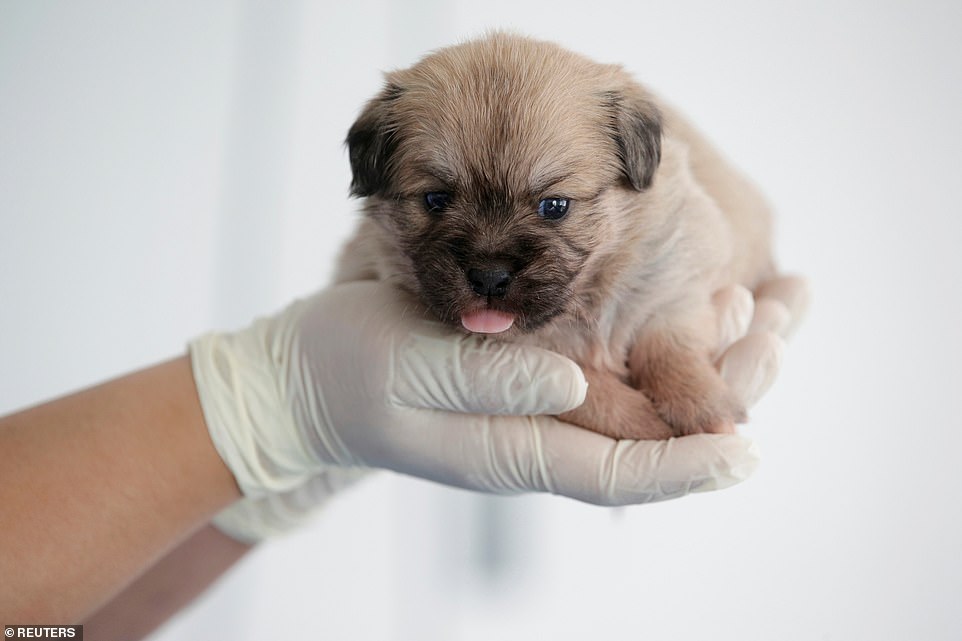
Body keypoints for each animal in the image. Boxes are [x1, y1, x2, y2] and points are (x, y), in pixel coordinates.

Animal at [336, 32, 772, 438]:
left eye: (555, 206)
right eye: (435, 200)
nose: (489, 277)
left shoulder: (672, 283)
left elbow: (669, 346)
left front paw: (699, 401)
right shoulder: (538, 365)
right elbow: (588, 393)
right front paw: (645, 423)